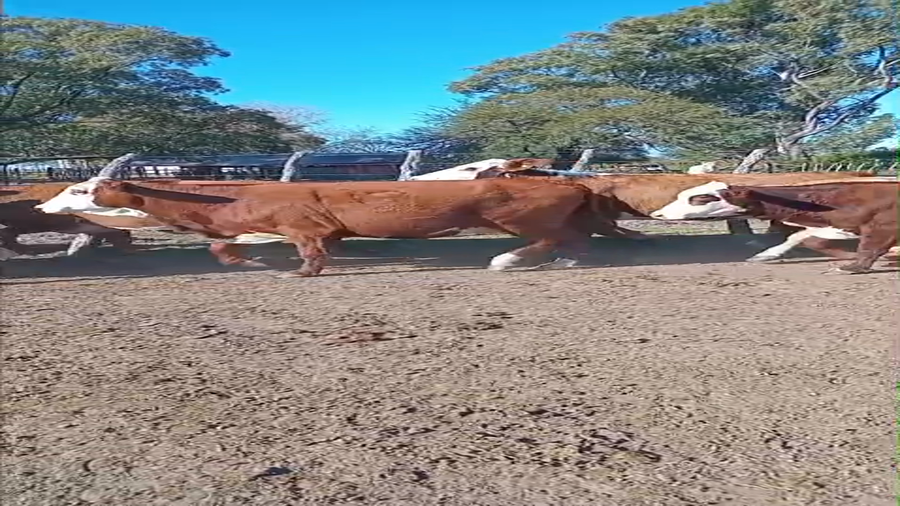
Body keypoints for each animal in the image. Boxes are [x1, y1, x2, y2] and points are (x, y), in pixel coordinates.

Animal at [650, 180, 899, 274]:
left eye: (701, 198)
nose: (658, 214)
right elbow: (803, 237)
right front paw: (765, 255)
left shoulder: (882, 226)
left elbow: (869, 248)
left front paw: (852, 267)